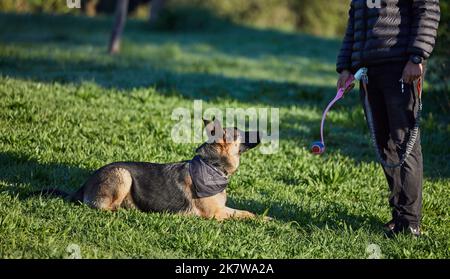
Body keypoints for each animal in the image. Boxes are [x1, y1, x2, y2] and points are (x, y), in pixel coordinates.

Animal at [38, 119, 268, 222]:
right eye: (240, 133)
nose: (262, 132)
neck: (212, 166)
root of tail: (84, 184)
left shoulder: (222, 209)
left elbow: (247, 211)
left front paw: (264, 217)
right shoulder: (216, 215)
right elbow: (244, 215)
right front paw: (261, 219)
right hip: (123, 174)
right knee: (102, 207)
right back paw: (128, 211)